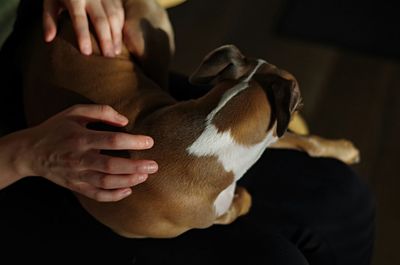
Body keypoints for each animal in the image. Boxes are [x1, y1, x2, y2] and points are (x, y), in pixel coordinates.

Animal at [18, 0, 360, 237]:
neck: (211, 133)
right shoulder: (219, 210)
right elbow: (244, 201)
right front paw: (244, 195)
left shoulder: (268, 133)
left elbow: (307, 141)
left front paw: (343, 149)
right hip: (153, 26)